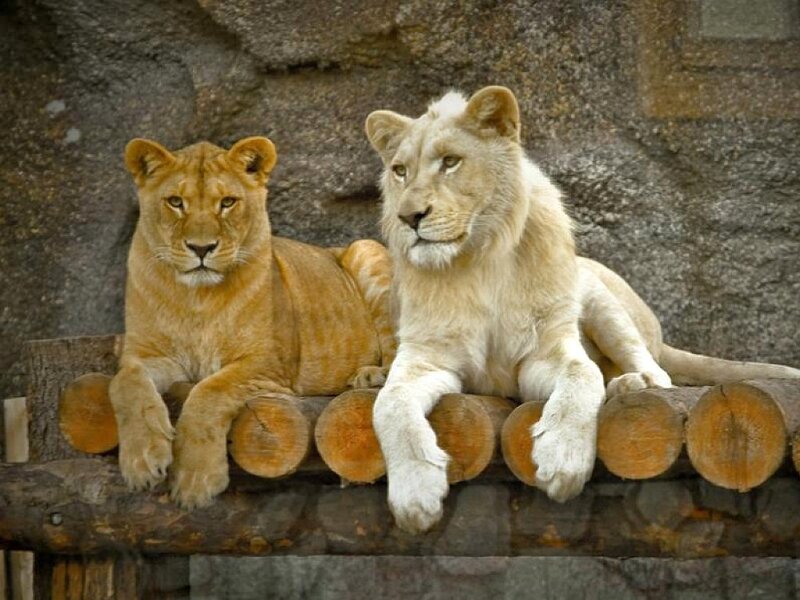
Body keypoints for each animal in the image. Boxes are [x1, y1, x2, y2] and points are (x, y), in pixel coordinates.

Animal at [111, 136, 395, 508]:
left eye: (227, 202)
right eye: (175, 202)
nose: (201, 248)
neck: (196, 298)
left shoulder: (266, 363)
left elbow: (208, 392)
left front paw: (196, 481)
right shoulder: (147, 354)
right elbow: (125, 384)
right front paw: (142, 461)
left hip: (367, 250)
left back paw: (371, 374)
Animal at [364, 86, 800, 533]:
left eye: (450, 161)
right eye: (400, 171)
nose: (409, 216)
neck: (478, 259)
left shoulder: (544, 351)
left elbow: (581, 375)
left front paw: (561, 459)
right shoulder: (426, 358)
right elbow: (389, 405)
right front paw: (415, 493)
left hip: (598, 295)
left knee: (656, 373)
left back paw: (635, 383)